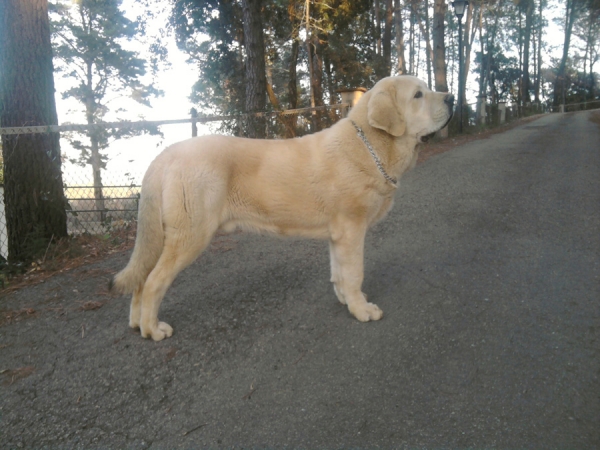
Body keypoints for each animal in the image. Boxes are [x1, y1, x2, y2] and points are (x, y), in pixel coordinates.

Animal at [110, 75, 452, 342]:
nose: (450, 97)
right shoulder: (352, 229)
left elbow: (339, 273)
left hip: (163, 236)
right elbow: (355, 273)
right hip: (189, 235)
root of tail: (165, 156)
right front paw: (361, 310)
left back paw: (137, 324)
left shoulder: (338, 235)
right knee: (153, 281)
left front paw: (346, 300)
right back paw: (153, 330)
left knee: (141, 278)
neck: (370, 146)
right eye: (418, 94)